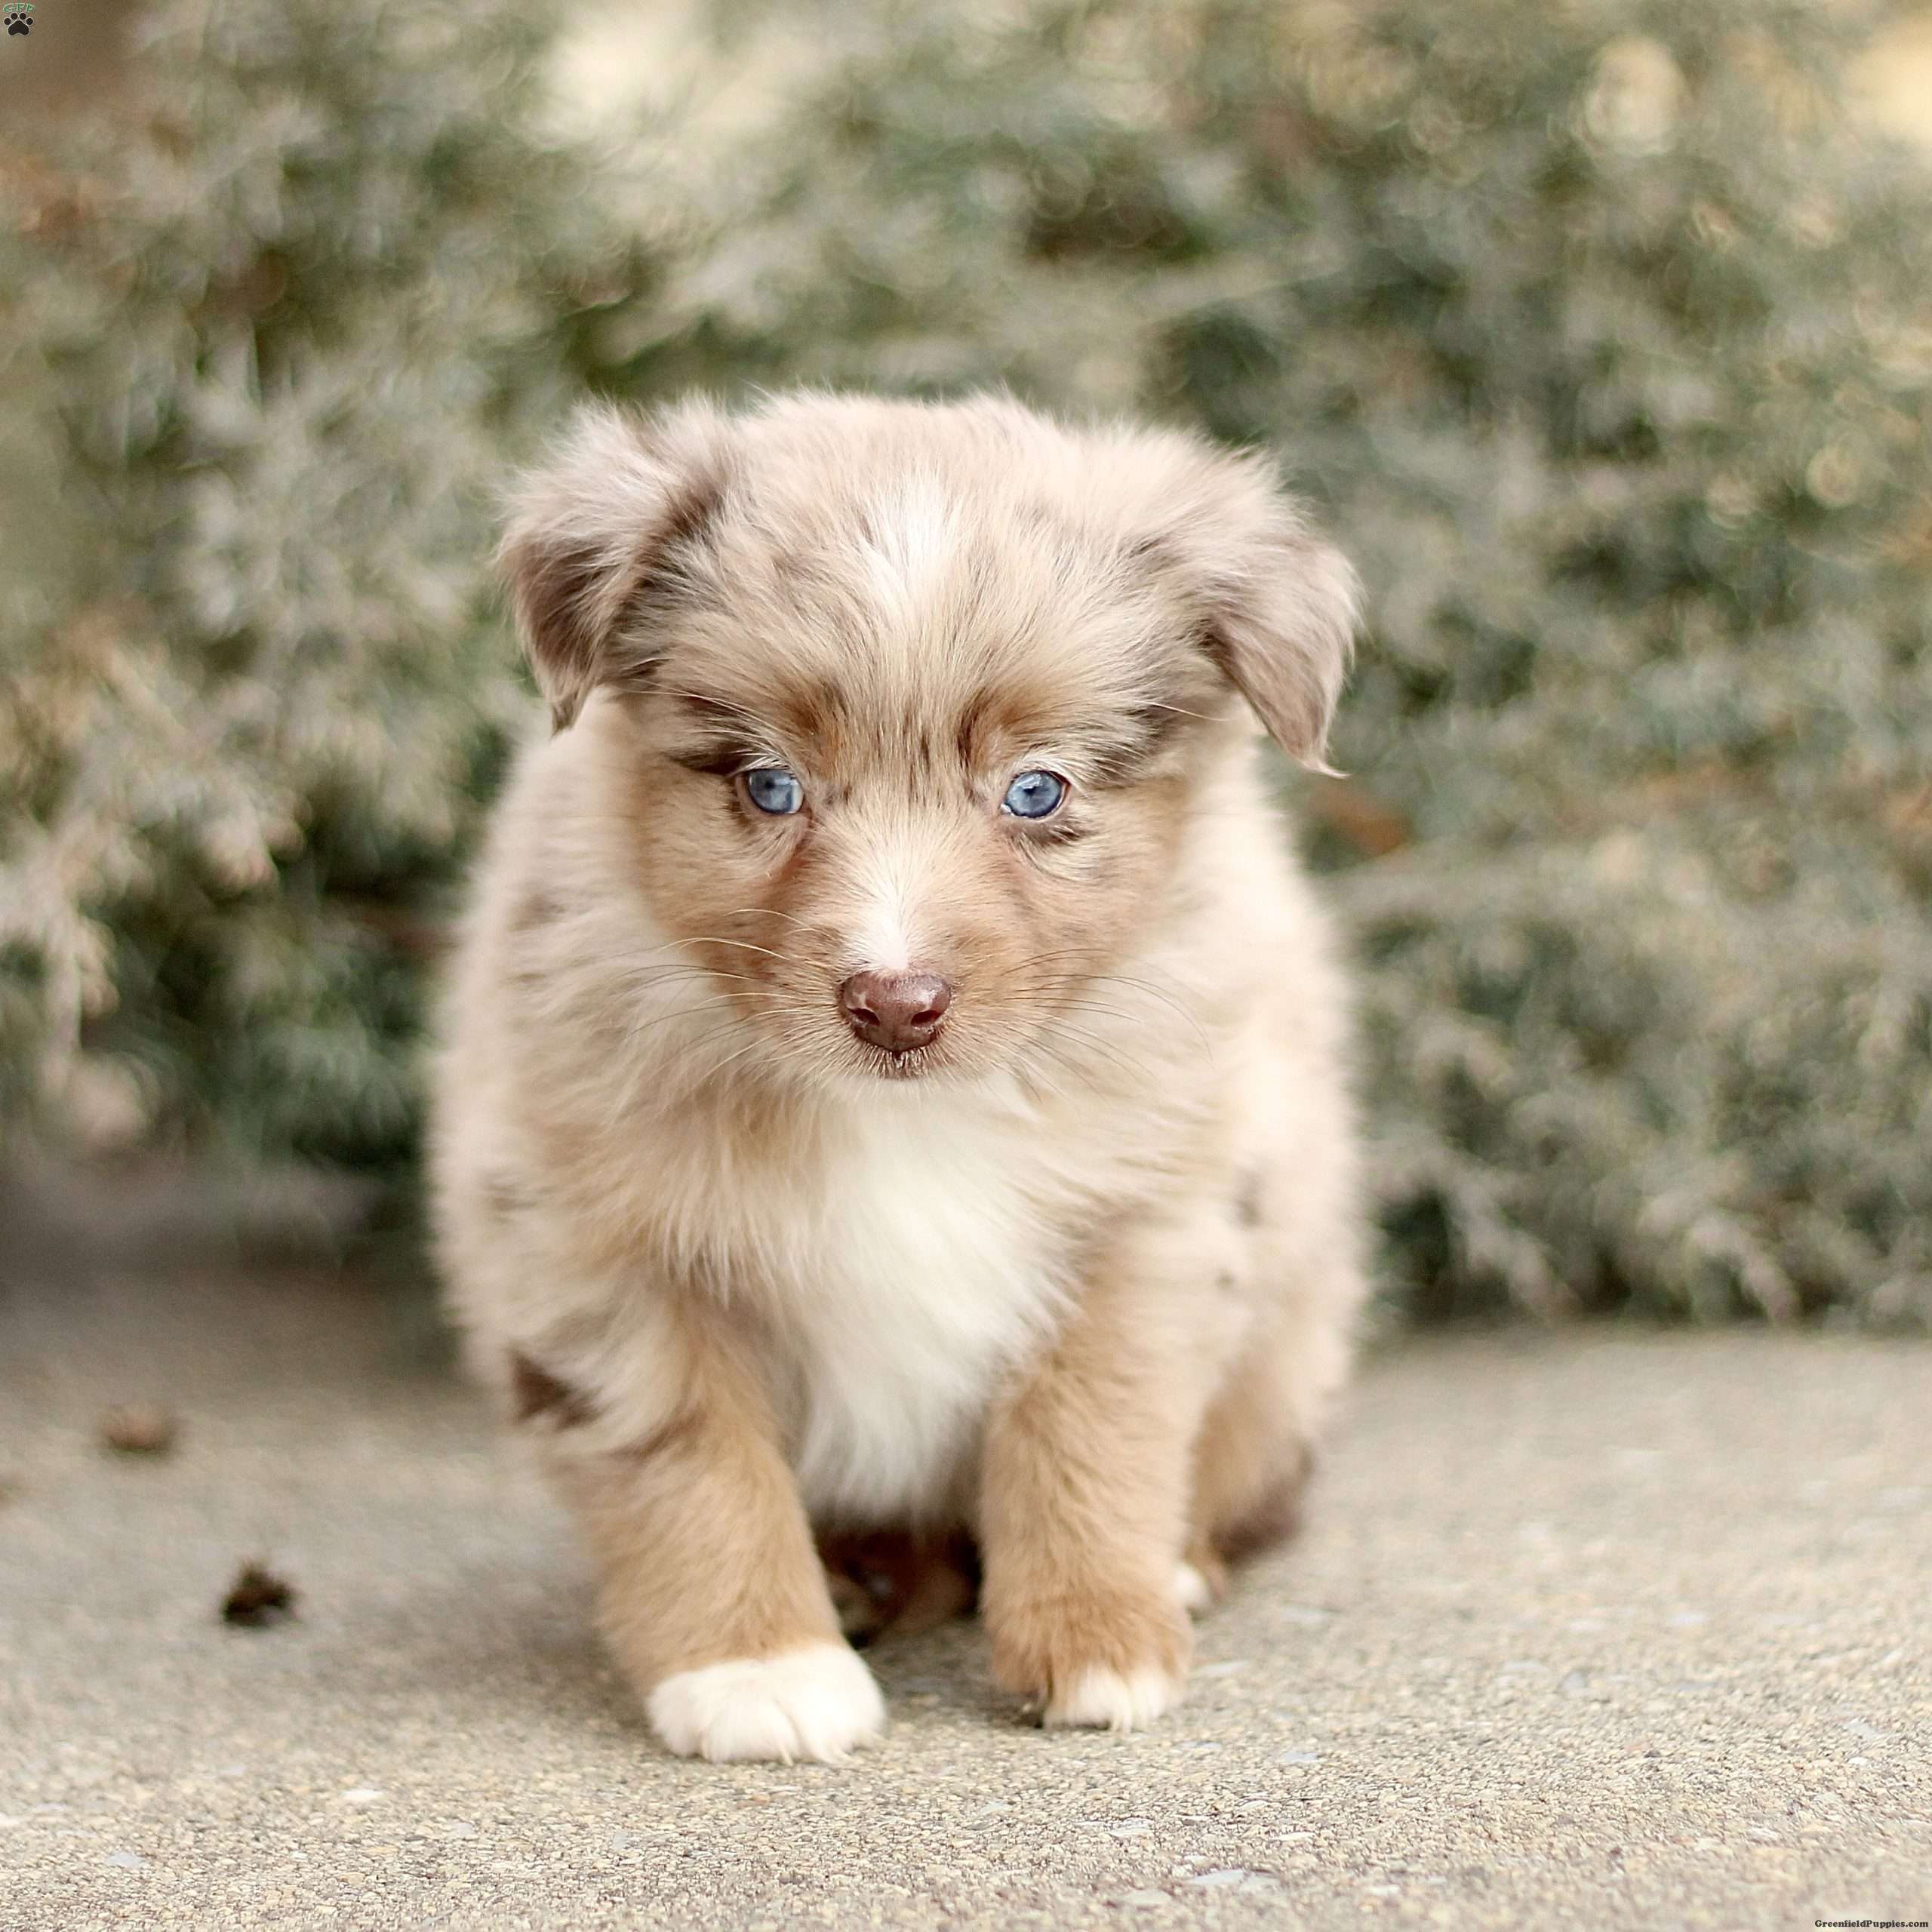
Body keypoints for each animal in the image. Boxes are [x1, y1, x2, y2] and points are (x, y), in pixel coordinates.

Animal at [435, 392, 1375, 1769]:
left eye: (1036, 790)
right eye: (770, 784)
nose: (895, 1004)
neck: (903, 1116)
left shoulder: (1150, 1214)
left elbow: (1088, 1425)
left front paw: (1099, 1637)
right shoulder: (593, 1244)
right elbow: (691, 1456)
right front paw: (756, 1665)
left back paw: (1171, 1568)